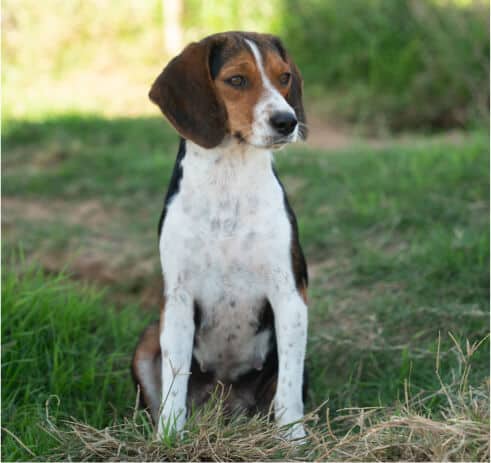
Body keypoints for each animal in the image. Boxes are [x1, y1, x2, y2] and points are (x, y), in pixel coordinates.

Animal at [133, 31, 310, 438]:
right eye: (237, 80)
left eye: (284, 77)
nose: (287, 121)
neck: (230, 177)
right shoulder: (179, 300)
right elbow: (174, 380)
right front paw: (169, 440)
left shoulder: (290, 295)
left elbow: (288, 388)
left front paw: (293, 440)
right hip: (148, 340)